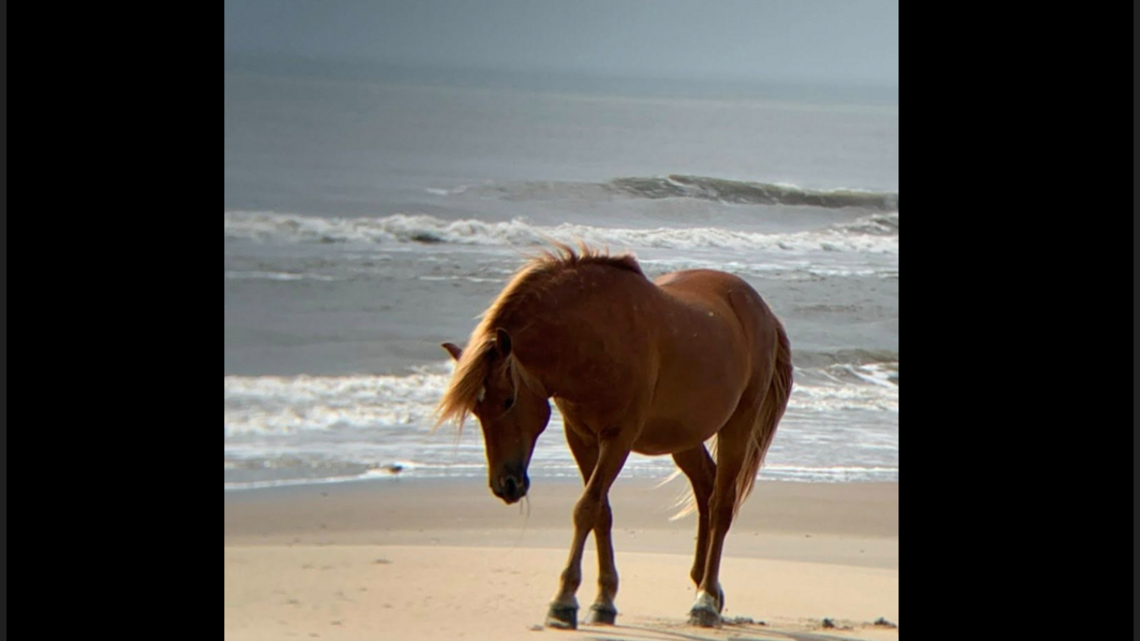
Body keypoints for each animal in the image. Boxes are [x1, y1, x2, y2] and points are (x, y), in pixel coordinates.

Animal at [435, 244, 793, 629]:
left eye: (507, 400)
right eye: (476, 410)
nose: (506, 485)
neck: (593, 338)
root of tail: (761, 310)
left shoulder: (617, 440)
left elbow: (586, 508)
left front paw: (563, 602)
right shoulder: (581, 438)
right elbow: (601, 512)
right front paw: (603, 601)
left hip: (738, 426)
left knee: (721, 503)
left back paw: (706, 601)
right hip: (683, 436)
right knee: (705, 487)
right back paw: (704, 584)